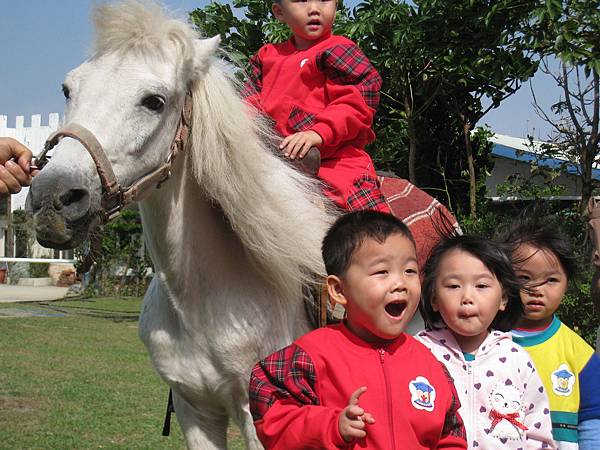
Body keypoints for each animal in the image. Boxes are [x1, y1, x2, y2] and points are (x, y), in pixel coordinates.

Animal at [27, 1, 332, 448]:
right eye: (68, 89)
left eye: (154, 101)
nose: (53, 198)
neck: (202, 302)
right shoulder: (194, 411)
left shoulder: (260, 419)